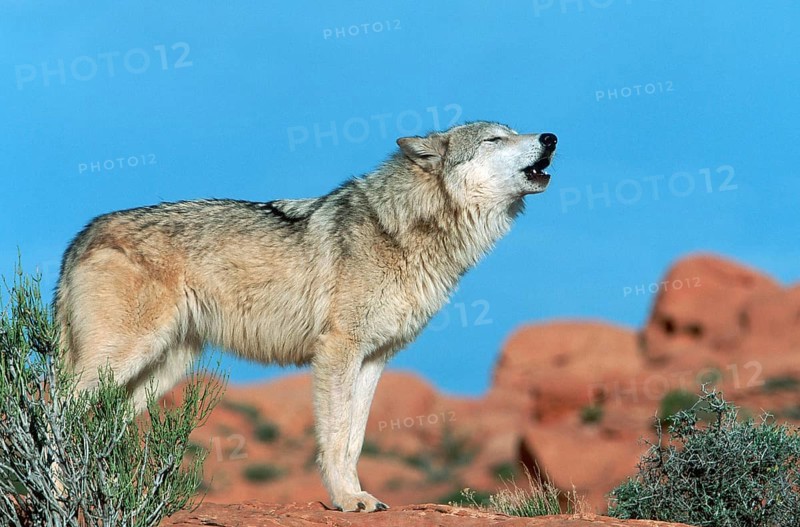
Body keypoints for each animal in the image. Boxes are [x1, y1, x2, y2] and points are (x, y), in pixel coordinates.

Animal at [55, 121, 556, 512]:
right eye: (494, 138)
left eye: (515, 131)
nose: (551, 137)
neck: (404, 229)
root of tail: (81, 236)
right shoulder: (336, 350)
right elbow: (334, 435)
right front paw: (346, 500)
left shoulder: (373, 359)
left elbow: (354, 438)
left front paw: (358, 496)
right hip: (122, 358)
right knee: (55, 411)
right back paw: (61, 496)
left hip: (161, 369)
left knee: (100, 427)